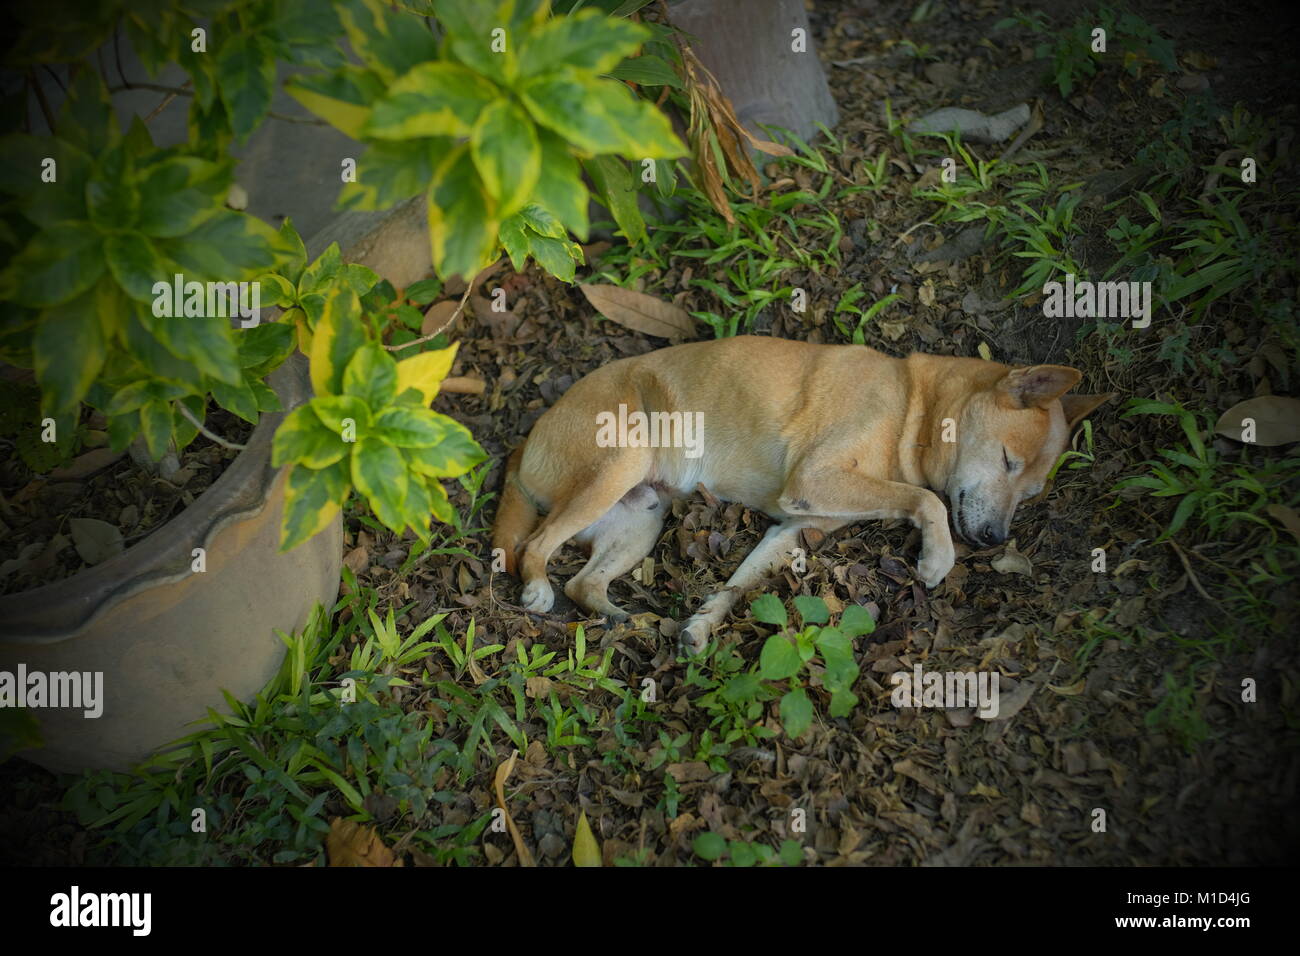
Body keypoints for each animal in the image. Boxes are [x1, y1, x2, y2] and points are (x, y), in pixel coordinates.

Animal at [488, 332, 1107, 655]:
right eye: (1007, 462)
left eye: (1029, 493)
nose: (993, 538)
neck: (913, 405)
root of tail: (525, 442)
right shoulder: (814, 479)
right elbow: (926, 499)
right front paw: (938, 556)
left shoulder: (797, 524)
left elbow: (738, 587)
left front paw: (702, 625)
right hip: (621, 461)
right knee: (534, 546)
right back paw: (537, 588)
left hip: (641, 519)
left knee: (584, 582)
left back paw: (624, 619)